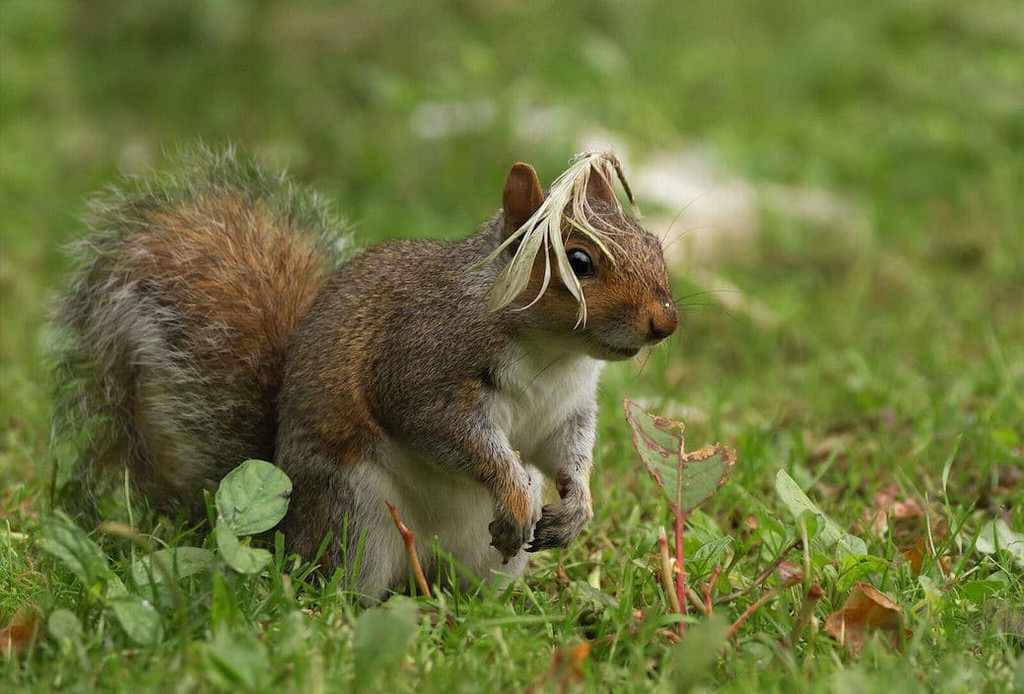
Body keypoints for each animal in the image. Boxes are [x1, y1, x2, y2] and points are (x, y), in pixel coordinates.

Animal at [56, 148, 679, 601]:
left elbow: (565, 452)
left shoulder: (565, 408)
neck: (554, 355)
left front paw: (576, 509)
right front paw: (514, 492)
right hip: (355, 515)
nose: (665, 321)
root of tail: (285, 531)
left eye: (653, 243)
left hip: (481, 560)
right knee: (344, 585)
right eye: (578, 262)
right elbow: (455, 436)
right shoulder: (419, 369)